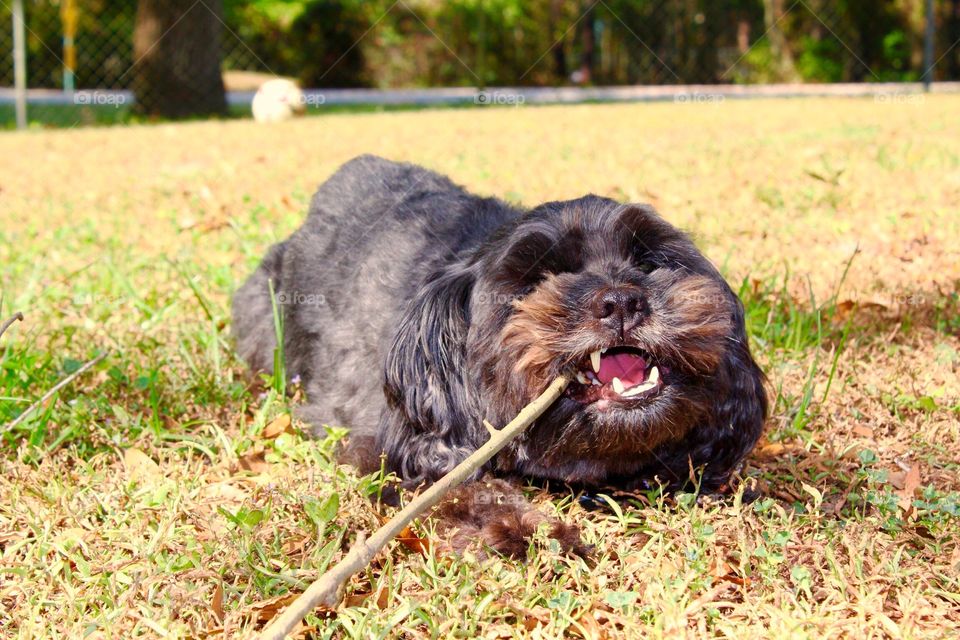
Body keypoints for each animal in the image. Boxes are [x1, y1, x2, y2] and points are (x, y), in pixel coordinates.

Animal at [232, 155, 764, 556]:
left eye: (649, 262)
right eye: (536, 278)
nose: (623, 301)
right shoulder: (387, 440)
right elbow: (456, 485)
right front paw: (522, 530)